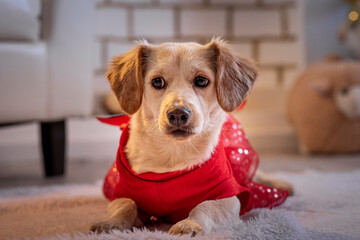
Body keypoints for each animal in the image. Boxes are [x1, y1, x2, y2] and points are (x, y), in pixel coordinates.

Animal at [90, 38, 292, 236]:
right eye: (157, 82)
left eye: (201, 80)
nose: (178, 114)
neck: (172, 154)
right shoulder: (122, 194)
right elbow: (126, 205)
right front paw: (111, 223)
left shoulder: (228, 198)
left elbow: (203, 207)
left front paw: (189, 224)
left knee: (258, 176)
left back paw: (283, 185)